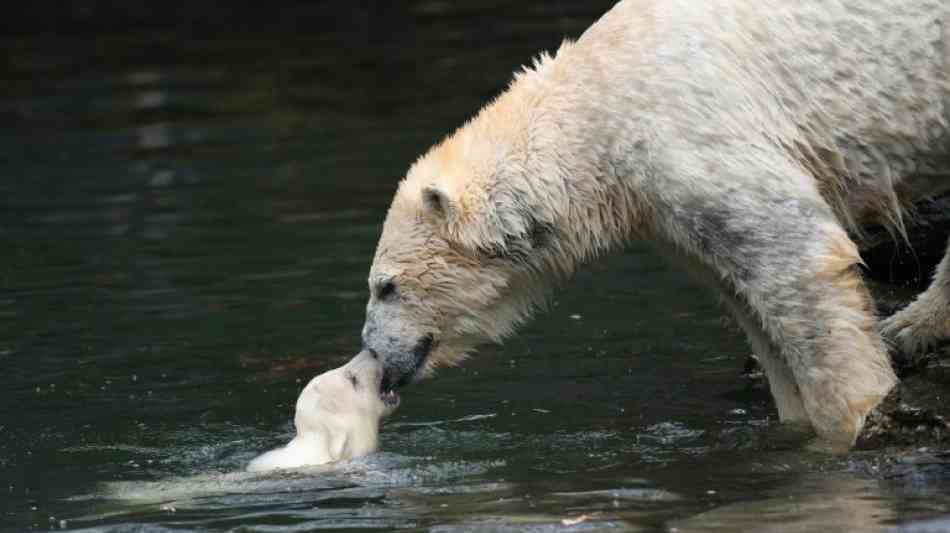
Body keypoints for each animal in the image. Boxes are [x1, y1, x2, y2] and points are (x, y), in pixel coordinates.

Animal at [360, 0, 948, 450]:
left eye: (386, 286)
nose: (375, 357)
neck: (601, 105)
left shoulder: (693, 139)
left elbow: (798, 259)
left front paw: (854, 421)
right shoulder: (664, 208)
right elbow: (746, 295)